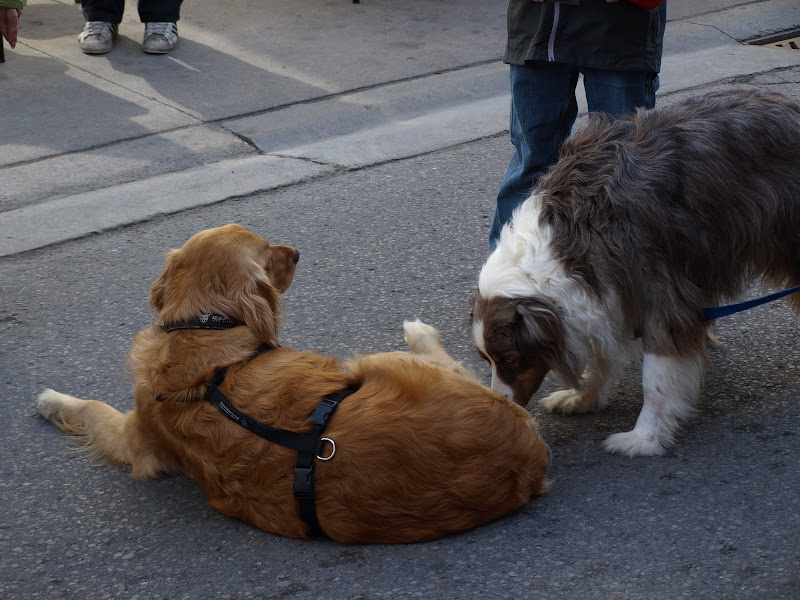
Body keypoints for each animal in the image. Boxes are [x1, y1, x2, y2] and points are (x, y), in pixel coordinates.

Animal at [37, 224, 550, 543]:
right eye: (268, 252)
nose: (299, 252)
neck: (200, 332)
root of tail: (526, 451)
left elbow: (93, 407)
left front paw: (51, 399)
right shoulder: (135, 438)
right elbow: (92, 407)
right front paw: (51, 399)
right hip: (380, 361)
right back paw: (419, 330)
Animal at [471, 89, 800, 457]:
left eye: (511, 358)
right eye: (486, 359)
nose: (501, 406)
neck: (564, 245)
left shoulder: (660, 296)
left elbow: (654, 379)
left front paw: (644, 438)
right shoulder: (604, 298)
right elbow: (600, 357)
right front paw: (584, 398)